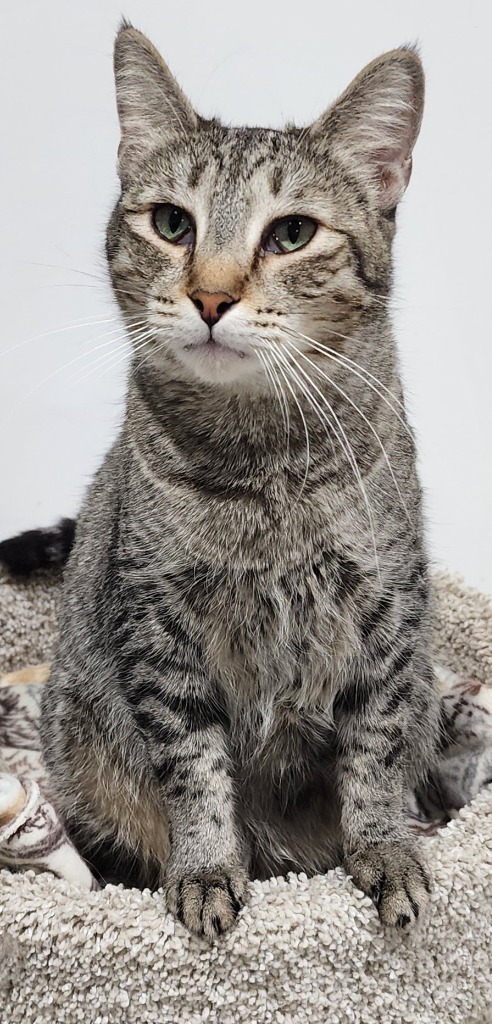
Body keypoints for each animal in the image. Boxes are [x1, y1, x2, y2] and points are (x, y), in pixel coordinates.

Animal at [10, 24, 442, 937]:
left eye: (292, 235)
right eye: (173, 223)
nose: (210, 296)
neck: (261, 468)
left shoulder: (388, 616)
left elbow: (377, 750)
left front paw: (386, 851)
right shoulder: (157, 631)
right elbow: (195, 767)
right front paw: (208, 868)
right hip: (82, 745)